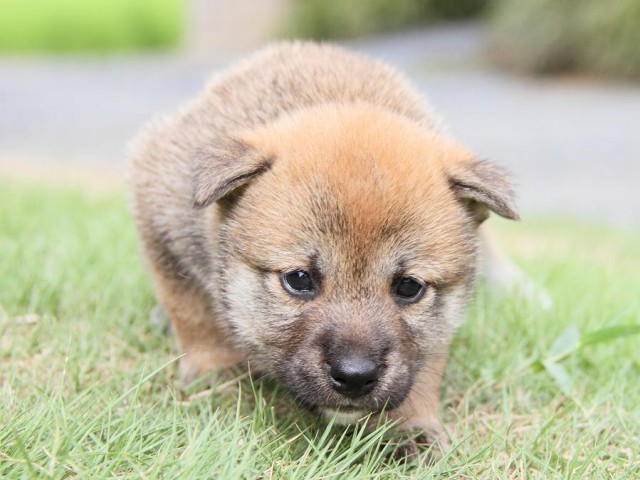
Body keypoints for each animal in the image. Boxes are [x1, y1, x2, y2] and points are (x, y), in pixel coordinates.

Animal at [129, 41, 520, 454]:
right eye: (299, 279)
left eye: (409, 287)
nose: (354, 376)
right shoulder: (160, 214)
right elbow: (191, 307)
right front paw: (215, 369)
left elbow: (426, 363)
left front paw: (411, 424)